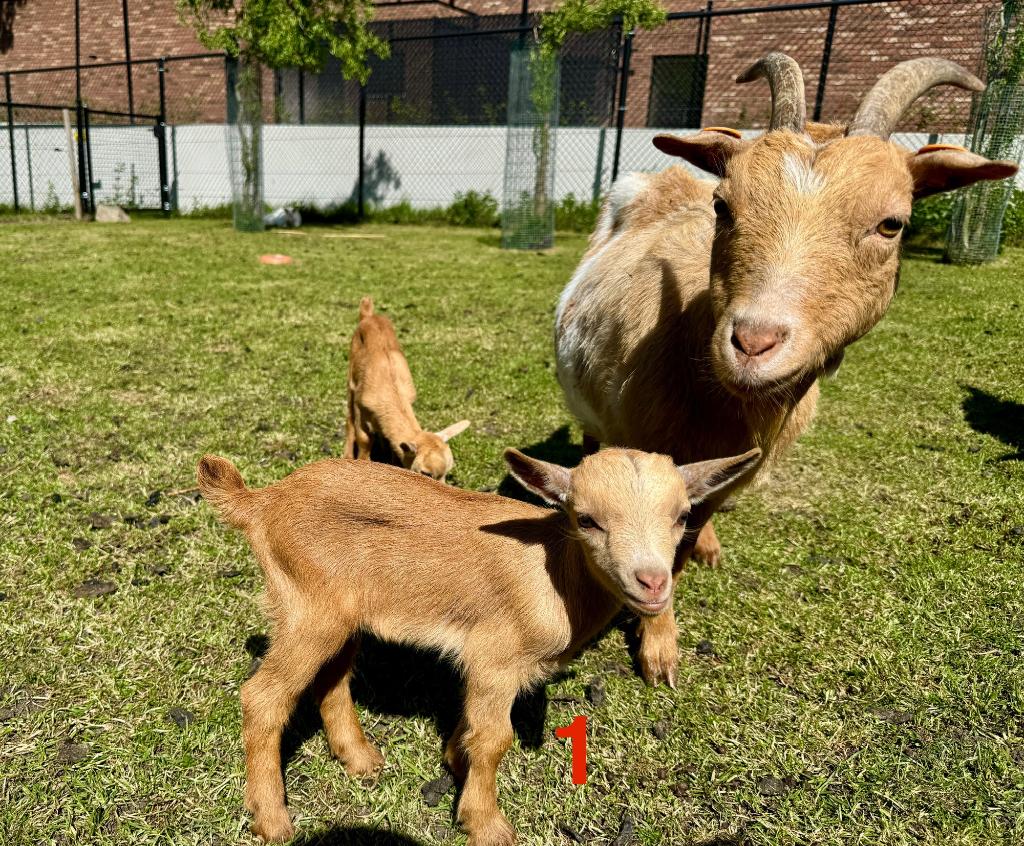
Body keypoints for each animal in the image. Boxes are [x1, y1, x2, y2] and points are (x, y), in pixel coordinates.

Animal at [196, 445, 760, 845]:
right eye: (586, 518)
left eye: (683, 516)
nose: (652, 583)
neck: (554, 572)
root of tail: (260, 502)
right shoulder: (496, 659)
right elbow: (494, 740)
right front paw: (486, 824)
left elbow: (470, 730)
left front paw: (455, 761)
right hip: (307, 609)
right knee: (264, 698)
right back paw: (272, 820)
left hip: (340, 613)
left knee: (332, 680)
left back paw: (359, 759)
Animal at [345, 296, 469, 481]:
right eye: (426, 473)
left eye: (446, 474)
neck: (391, 392)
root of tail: (368, 315)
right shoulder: (362, 411)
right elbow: (364, 441)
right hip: (351, 379)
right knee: (349, 417)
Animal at [554, 54, 1018, 686]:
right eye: (724, 207)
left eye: (892, 224)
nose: (753, 343)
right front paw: (658, 650)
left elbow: (685, 533)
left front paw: (674, 605)